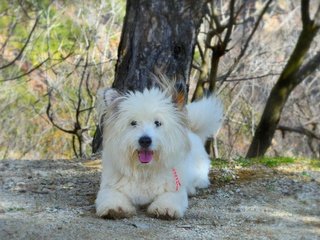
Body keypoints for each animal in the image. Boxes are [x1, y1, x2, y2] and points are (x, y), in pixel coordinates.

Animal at [95, 84, 222, 219]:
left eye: (157, 123)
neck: (144, 170)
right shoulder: (110, 188)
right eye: (133, 123)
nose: (145, 140)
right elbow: (112, 196)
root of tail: (193, 132)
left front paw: (165, 209)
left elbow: (169, 198)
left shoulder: (174, 190)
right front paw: (115, 208)